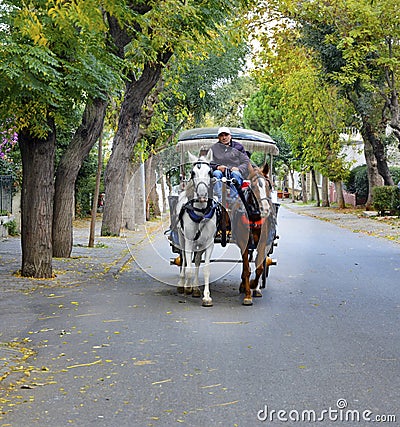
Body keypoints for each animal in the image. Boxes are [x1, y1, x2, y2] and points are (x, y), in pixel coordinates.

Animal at [176, 150, 217, 308]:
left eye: (210, 172)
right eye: (193, 173)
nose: (202, 195)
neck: (200, 212)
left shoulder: (209, 242)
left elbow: (206, 269)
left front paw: (206, 296)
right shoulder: (188, 240)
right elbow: (188, 268)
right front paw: (187, 287)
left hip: (200, 243)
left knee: (198, 260)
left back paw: (195, 287)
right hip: (181, 237)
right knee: (183, 259)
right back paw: (183, 284)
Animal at [230, 166, 276, 306]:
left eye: (268, 185)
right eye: (254, 187)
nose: (265, 209)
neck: (254, 216)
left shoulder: (262, 243)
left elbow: (259, 267)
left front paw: (253, 286)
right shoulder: (244, 243)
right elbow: (247, 269)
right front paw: (247, 295)